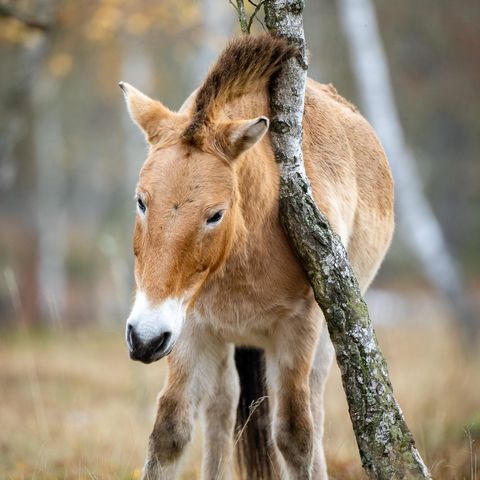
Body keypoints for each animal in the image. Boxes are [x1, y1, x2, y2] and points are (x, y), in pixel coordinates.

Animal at [120, 33, 394, 480]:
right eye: (141, 201)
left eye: (215, 214)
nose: (144, 337)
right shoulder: (189, 328)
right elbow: (170, 431)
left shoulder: (298, 329)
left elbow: (295, 436)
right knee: (221, 406)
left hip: (321, 341)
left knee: (311, 408)